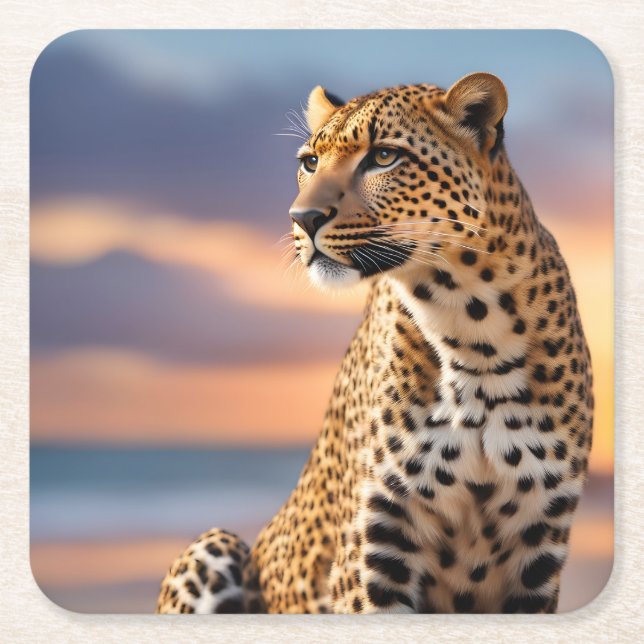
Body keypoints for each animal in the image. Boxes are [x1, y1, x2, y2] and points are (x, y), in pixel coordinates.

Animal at [156, 72, 594, 614]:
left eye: (384, 157)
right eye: (310, 162)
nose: (302, 217)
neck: (474, 331)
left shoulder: (538, 550)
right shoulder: (374, 550)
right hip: (214, 544)